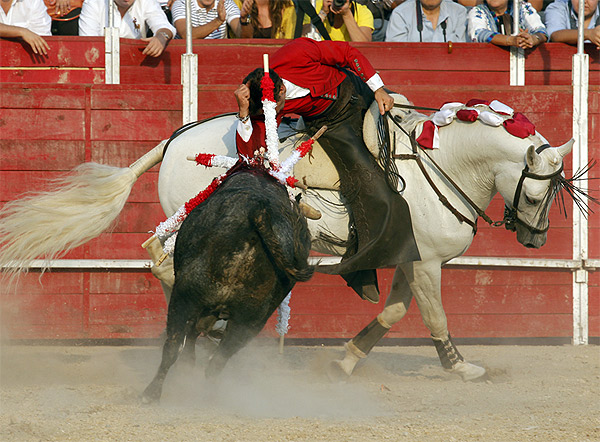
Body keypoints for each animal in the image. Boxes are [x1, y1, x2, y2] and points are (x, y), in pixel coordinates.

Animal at [142, 167, 314, 402]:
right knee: (217, 361)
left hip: (185, 296)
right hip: (250, 322)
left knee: (173, 345)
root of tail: (257, 213)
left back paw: (151, 392)